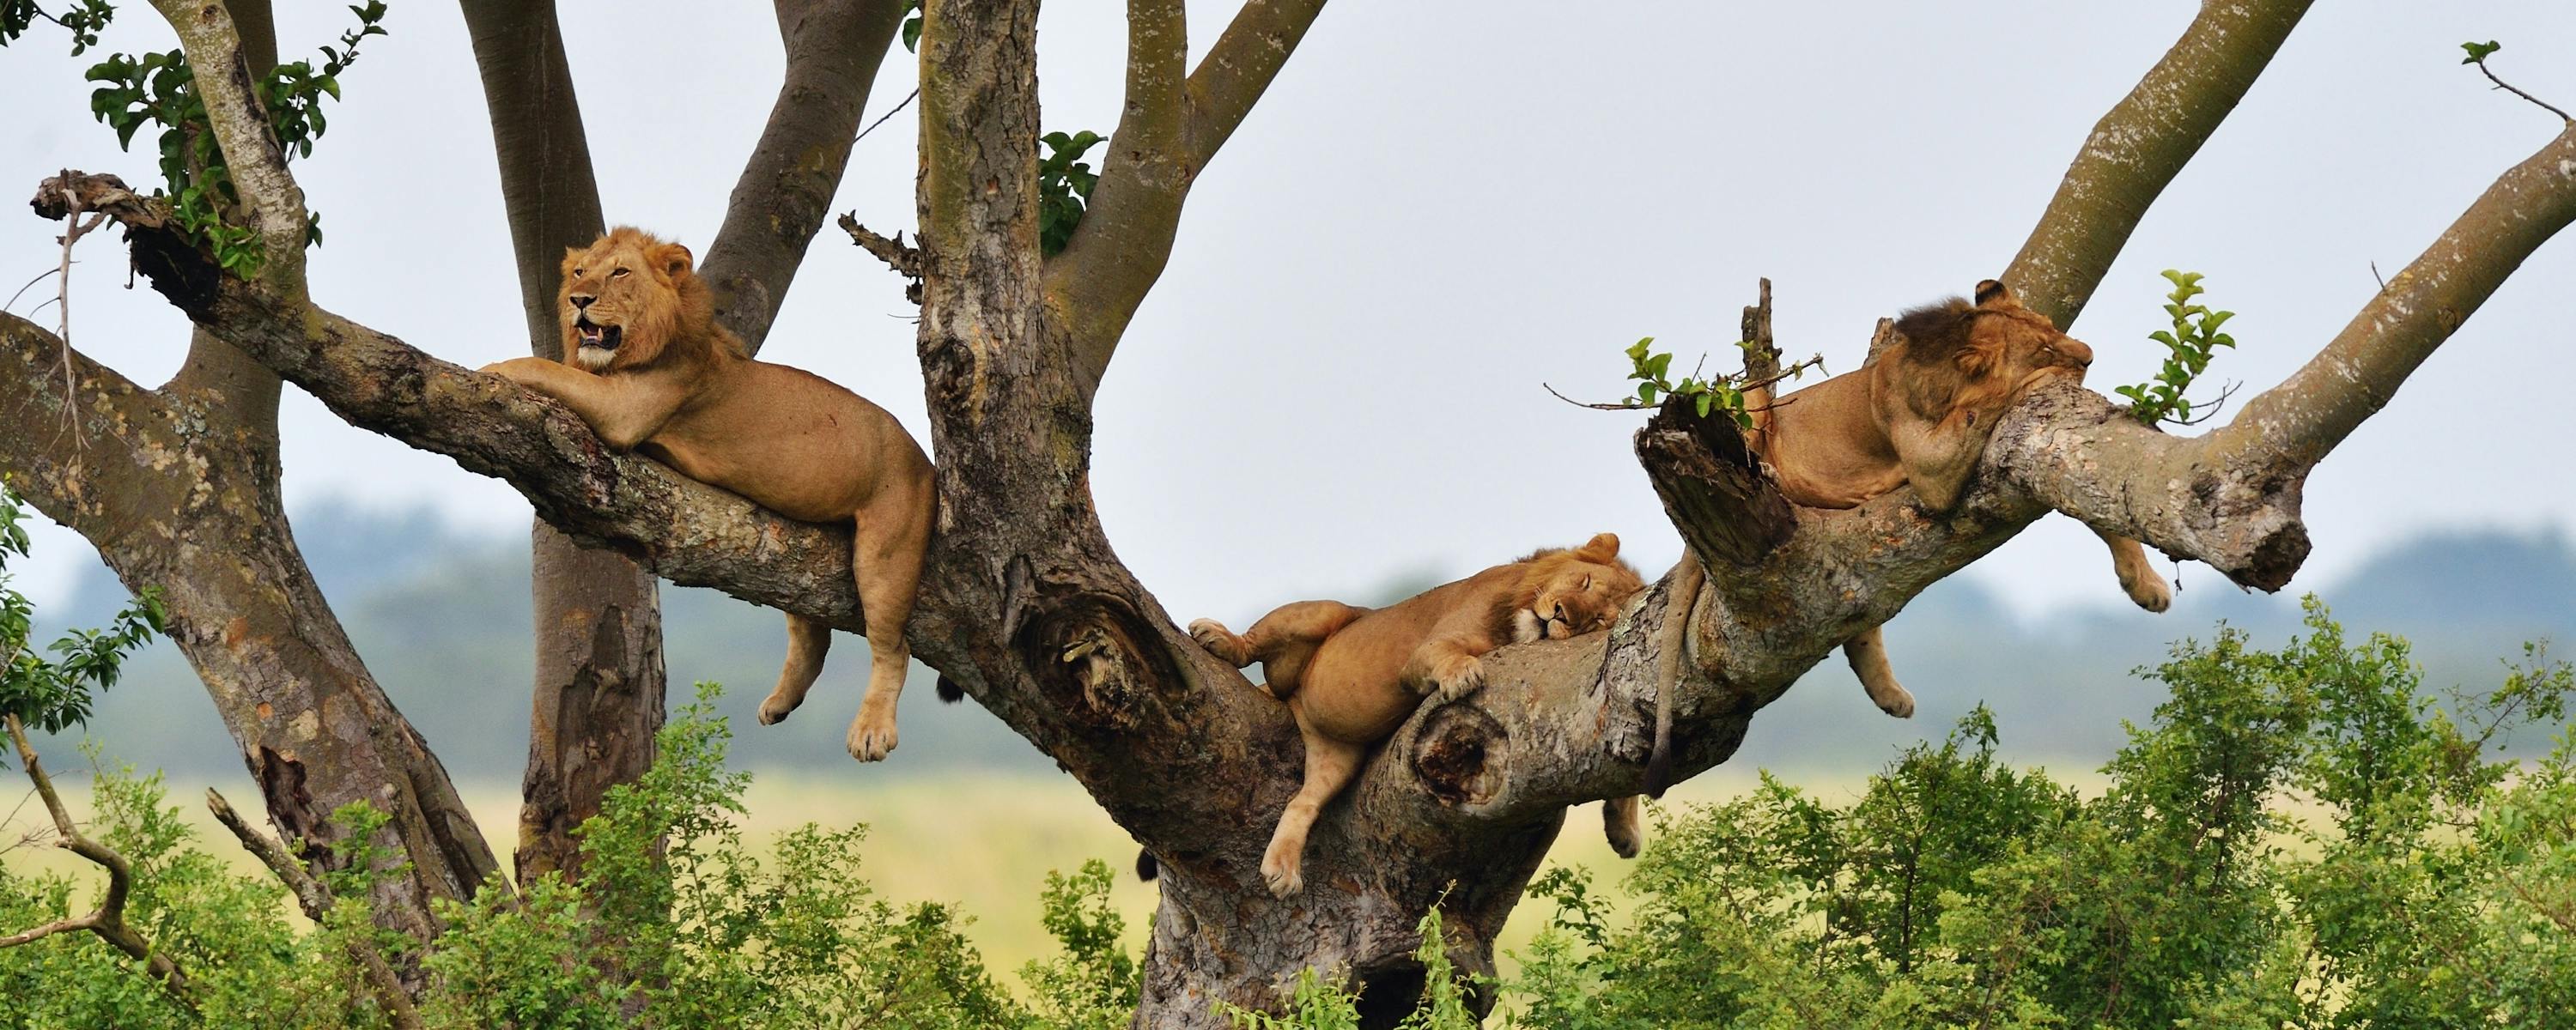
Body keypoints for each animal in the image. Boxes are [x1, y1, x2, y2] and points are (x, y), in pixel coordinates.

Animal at [481, 227, 937, 762]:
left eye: (620, 272)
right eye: (578, 273)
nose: (579, 300)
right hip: (803, 550)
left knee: (892, 646)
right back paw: (780, 703)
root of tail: (925, 461)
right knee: (811, 633)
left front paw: (493, 367)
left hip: (887, 551)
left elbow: (549, 368)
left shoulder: (624, 408)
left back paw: (871, 731)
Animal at [1186, 533, 1647, 898]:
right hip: (1322, 614)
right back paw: (1219, 638)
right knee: (1256, 640)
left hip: (1338, 754)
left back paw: (1283, 869)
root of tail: (1294, 700)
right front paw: (1462, 674)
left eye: (1599, 618)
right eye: (1583, 581)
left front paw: (1624, 829)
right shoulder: (1425, 652)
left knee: (1304, 801)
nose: (1561, 614)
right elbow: (1447, 653)